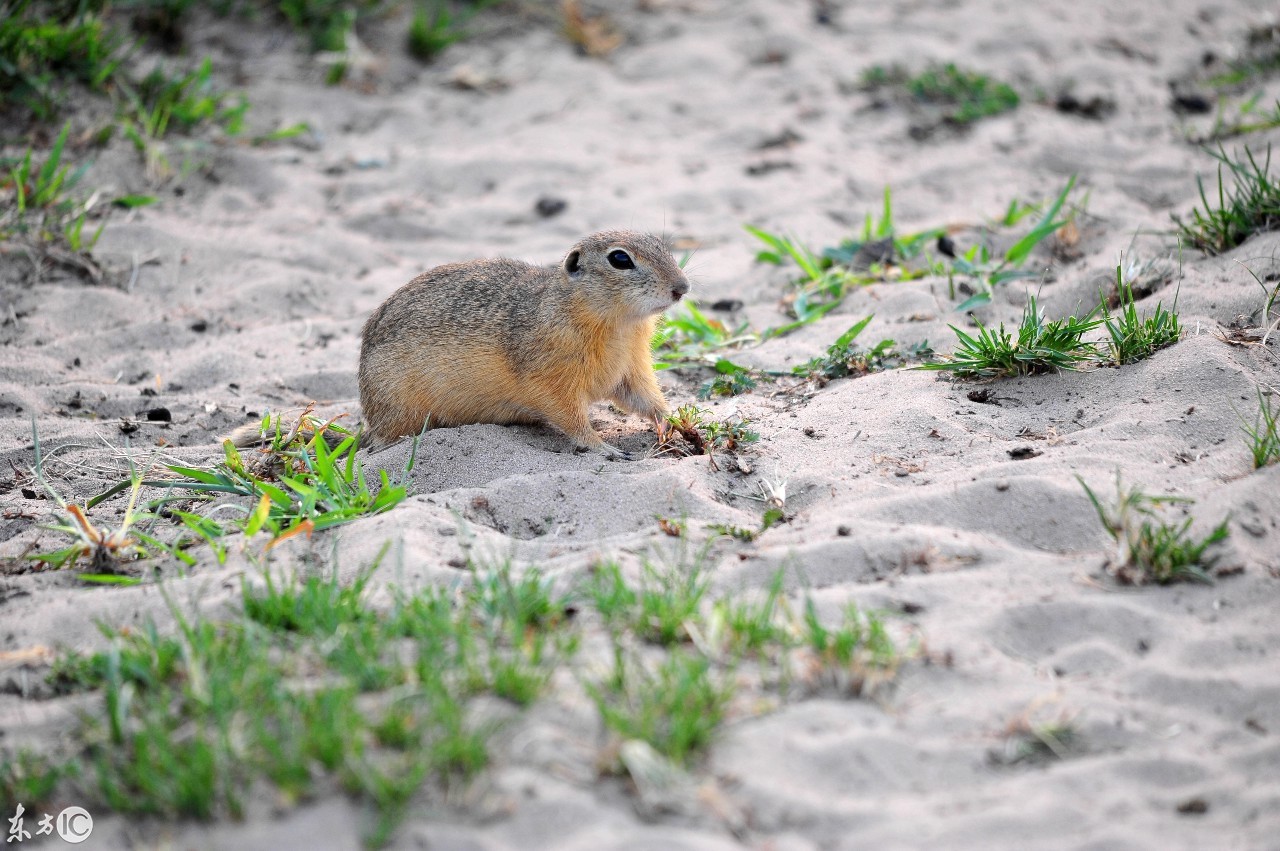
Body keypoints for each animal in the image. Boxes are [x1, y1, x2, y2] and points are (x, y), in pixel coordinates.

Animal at [355, 232, 696, 455]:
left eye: (662, 245)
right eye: (620, 258)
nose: (682, 287)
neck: (620, 326)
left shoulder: (631, 370)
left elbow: (646, 399)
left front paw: (673, 423)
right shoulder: (552, 382)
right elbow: (571, 418)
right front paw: (602, 447)